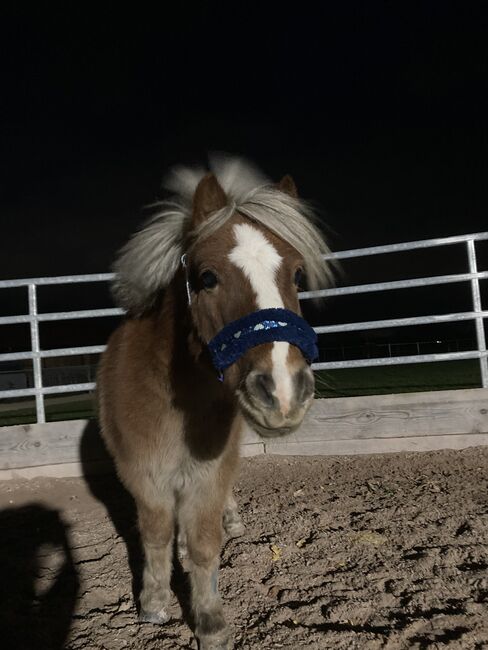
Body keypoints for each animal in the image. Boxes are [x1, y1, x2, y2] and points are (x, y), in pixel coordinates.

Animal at [98, 154, 336, 644]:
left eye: (297, 274)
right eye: (206, 277)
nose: (284, 390)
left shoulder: (208, 474)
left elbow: (205, 544)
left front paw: (210, 623)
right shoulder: (143, 475)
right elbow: (155, 535)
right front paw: (153, 603)